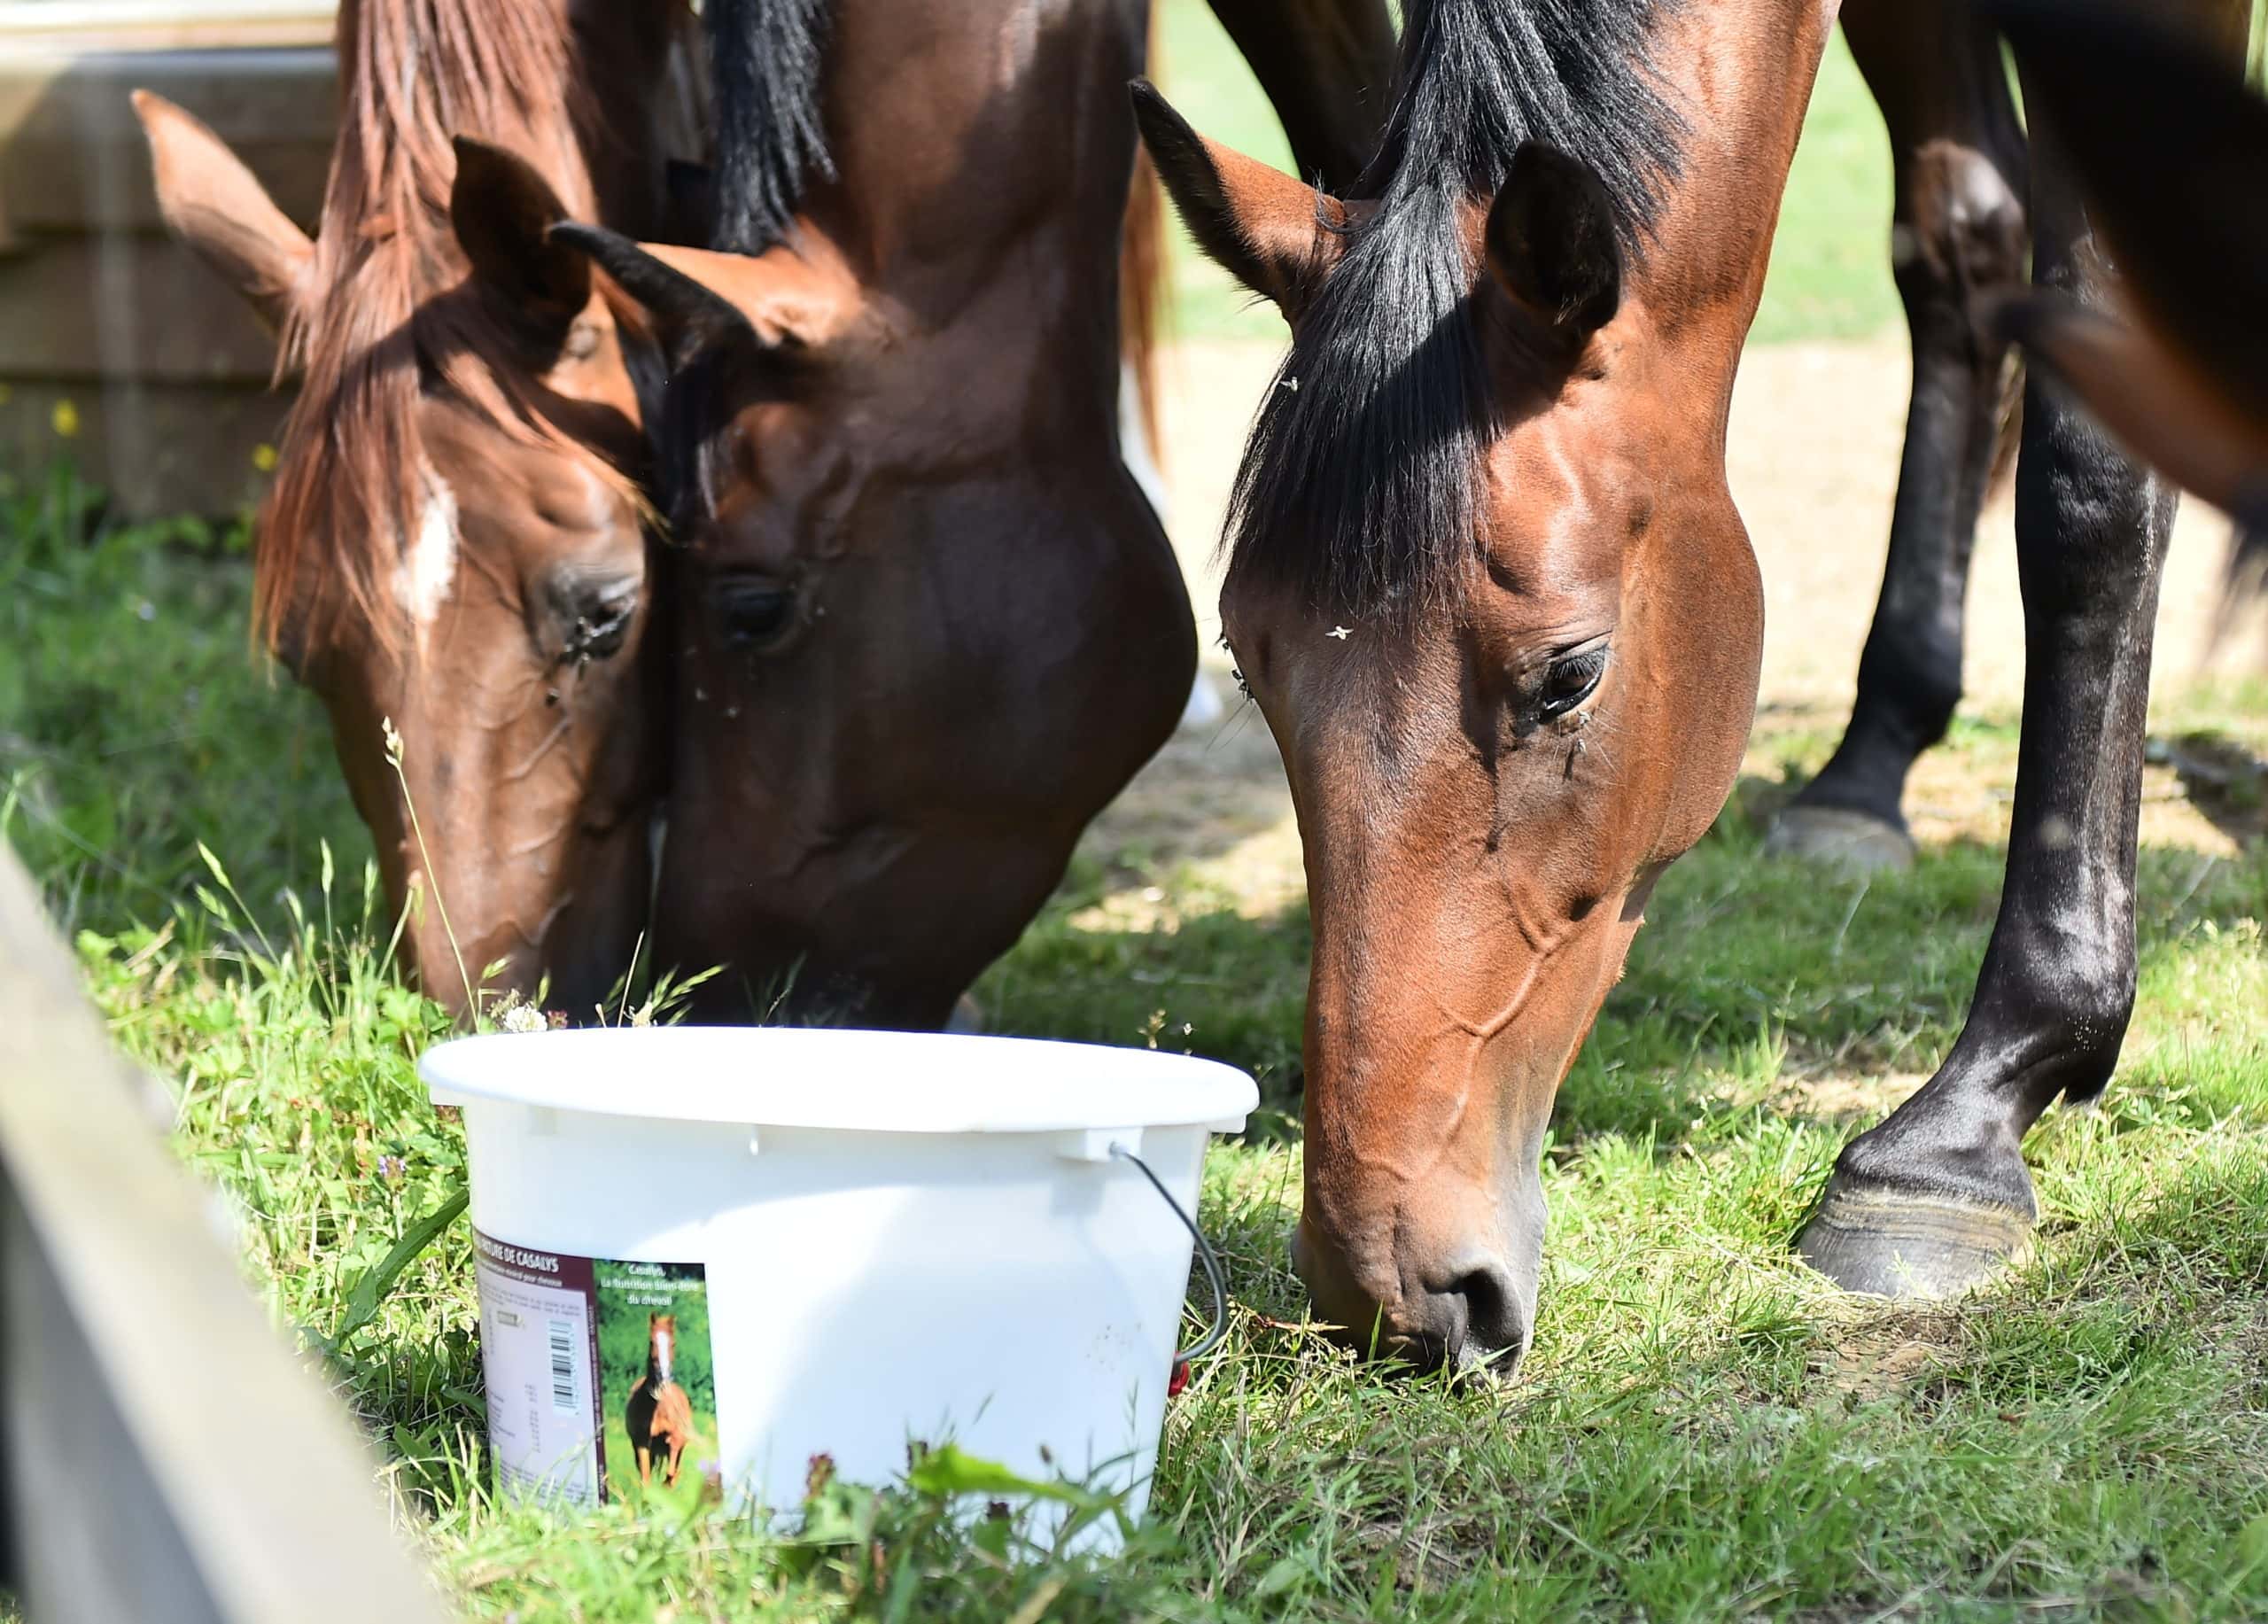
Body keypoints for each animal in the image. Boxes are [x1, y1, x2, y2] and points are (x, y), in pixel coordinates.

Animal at [625, 1315, 694, 1488]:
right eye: (651, 1342)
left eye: (673, 1343)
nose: (663, 1376)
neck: (658, 1409)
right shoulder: (642, 1443)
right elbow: (646, 1478)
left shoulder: (676, 1440)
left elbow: (671, 1474)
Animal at [1143, 0, 2241, 1379]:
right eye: (1245, 661)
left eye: (1570, 676)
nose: (1387, 1293)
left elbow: (2089, 483)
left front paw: (1969, 1124)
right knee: (1959, 242)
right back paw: (1864, 771)